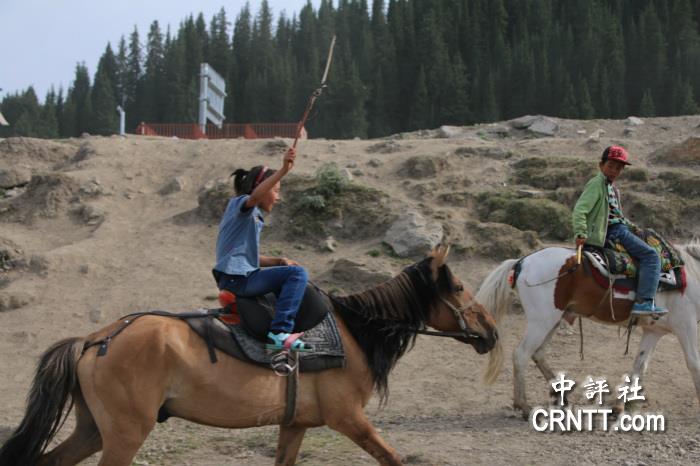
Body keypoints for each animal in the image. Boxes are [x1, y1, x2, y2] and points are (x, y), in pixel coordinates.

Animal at [2, 246, 500, 464]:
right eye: (457, 286)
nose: (491, 331)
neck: (353, 331)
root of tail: (95, 339)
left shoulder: (295, 424)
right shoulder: (349, 418)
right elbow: (392, 458)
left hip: (94, 430)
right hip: (124, 435)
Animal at [476, 240, 700, 416]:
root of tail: (521, 263)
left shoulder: (654, 331)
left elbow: (639, 366)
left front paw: (621, 406)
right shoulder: (686, 324)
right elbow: (693, 363)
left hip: (552, 321)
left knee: (537, 353)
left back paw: (560, 394)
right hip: (542, 321)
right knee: (521, 354)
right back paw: (523, 405)